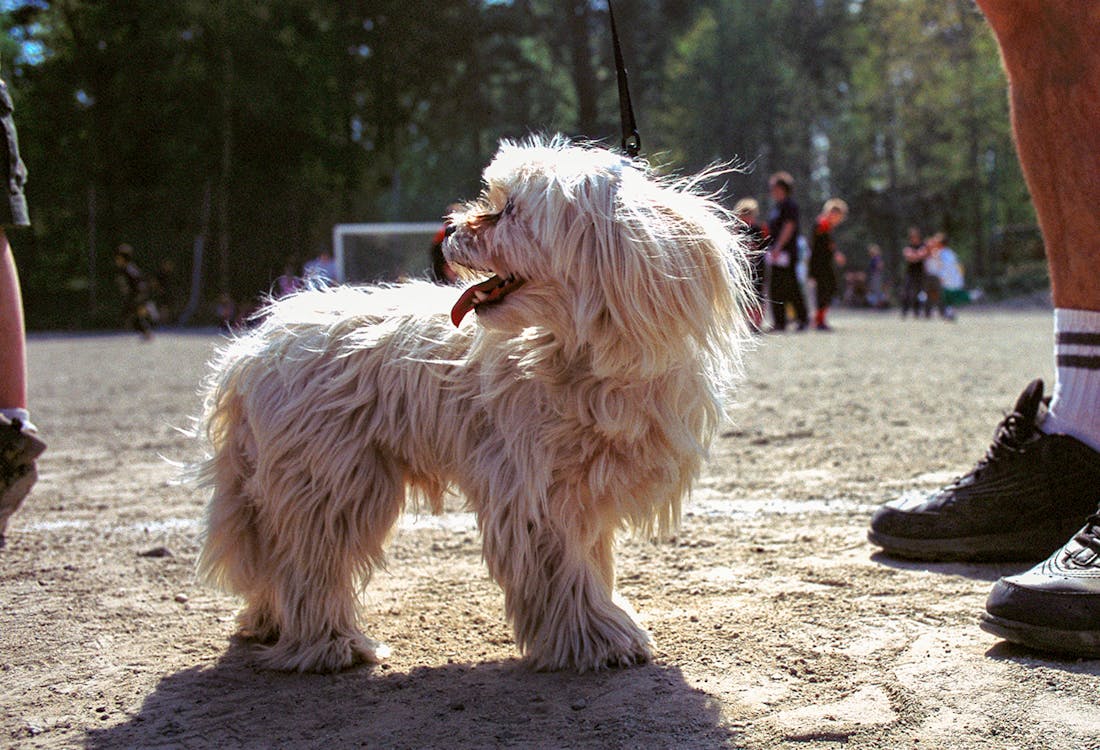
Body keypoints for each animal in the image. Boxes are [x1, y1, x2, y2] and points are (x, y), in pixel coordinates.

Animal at [195, 135, 756, 673]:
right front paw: (596, 639)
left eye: (510, 210)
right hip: (333, 481)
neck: (577, 351)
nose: (447, 227)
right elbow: (566, 572)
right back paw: (330, 645)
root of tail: (252, 349)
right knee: (312, 568)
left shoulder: (582, 491)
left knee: (282, 559)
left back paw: (271, 622)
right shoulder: (537, 492)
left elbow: (589, 562)